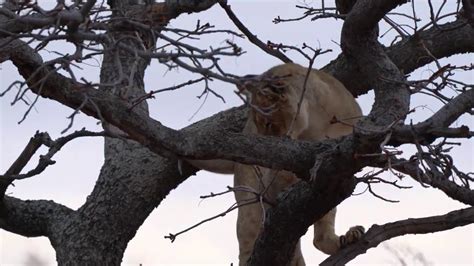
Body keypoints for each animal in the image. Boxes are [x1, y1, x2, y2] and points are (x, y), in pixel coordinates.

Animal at [189, 63, 362, 264]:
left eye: (268, 123)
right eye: (257, 124)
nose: (261, 145)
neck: (316, 123)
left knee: (318, 235)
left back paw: (345, 239)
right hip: (250, 204)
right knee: (250, 243)